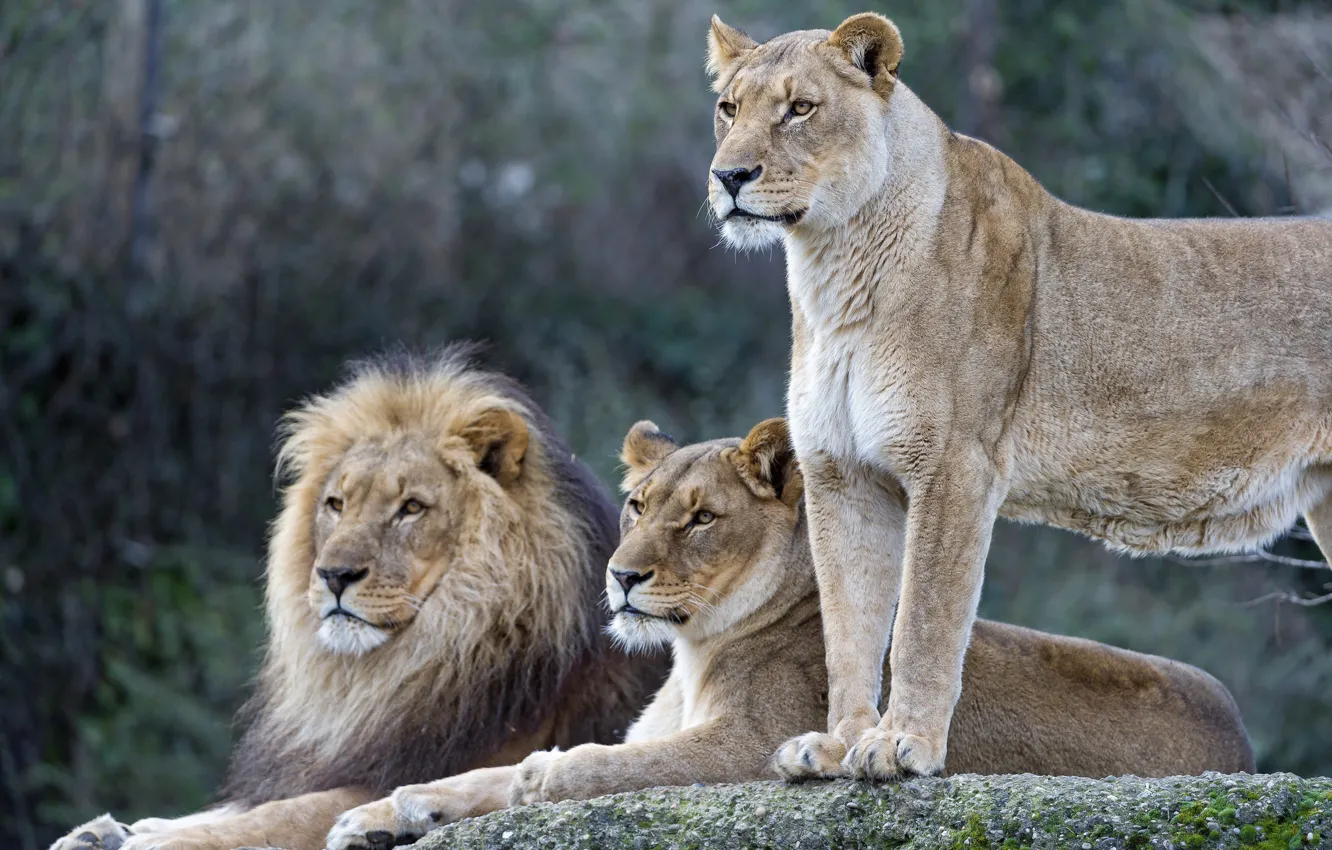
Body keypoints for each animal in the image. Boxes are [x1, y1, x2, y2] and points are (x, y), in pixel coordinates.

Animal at [49, 346, 668, 850]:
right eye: (336, 504)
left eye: (411, 508)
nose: (334, 575)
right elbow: (252, 803)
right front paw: (107, 831)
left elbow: (285, 814)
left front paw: (156, 840)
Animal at [323, 418, 1252, 850]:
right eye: (636, 505)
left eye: (701, 518)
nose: (621, 577)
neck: (693, 652)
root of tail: (1242, 739)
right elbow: (482, 774)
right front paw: (384, 812)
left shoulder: (748, 744)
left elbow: (584, 767)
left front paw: (539, 781)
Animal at [703, 11, 1332, 782]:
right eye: (728, 108)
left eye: (800, 108)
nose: (729, 176)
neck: (835, 270)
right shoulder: (842, 475)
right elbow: (848, 628)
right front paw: (835, 744)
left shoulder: (954, 465)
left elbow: (924, 620)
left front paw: (901, 744)